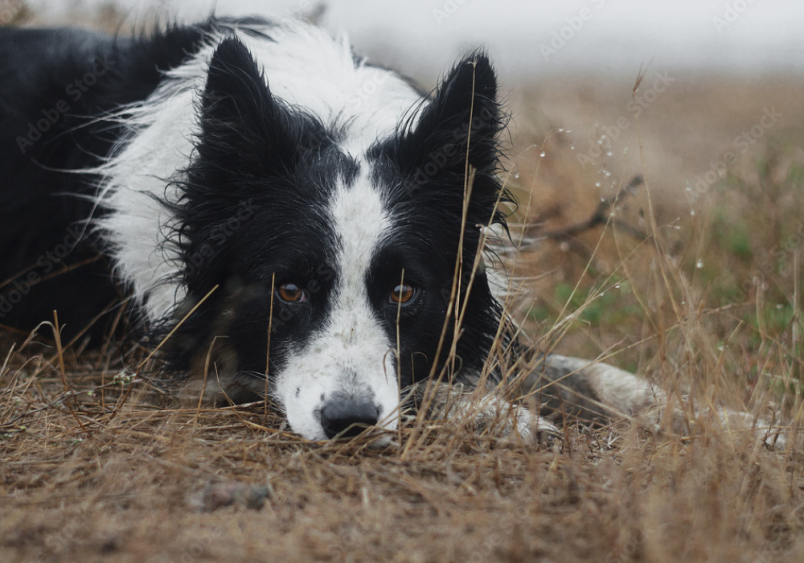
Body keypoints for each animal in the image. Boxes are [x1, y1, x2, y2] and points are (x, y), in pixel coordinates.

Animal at [0, 17, 784, 448]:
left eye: (406, 292)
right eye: (287, 290)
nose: (348, 423)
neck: (330, 117)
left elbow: (594, 373)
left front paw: (736, 424)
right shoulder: (172, 350)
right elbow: (422, 383)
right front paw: (494, 412)